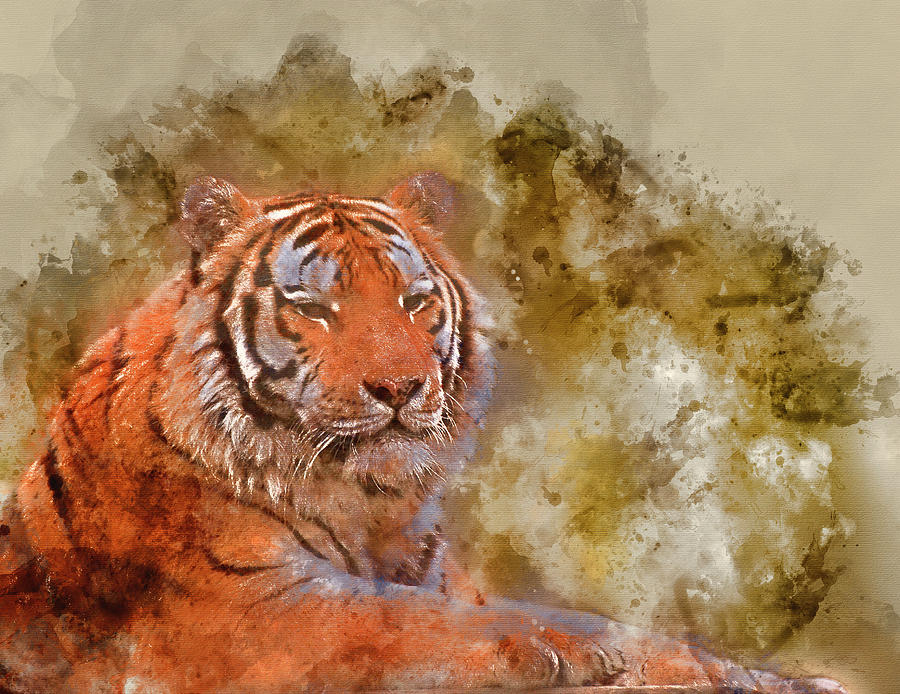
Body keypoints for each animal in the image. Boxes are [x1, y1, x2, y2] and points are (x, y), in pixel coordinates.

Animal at [0, 172, 848, 693]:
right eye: (314, 307)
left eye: (413, 300)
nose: (400, 388)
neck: (366, 502)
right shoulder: (253, 613)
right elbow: (412, 624)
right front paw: (575, 649)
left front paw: (770, 677)